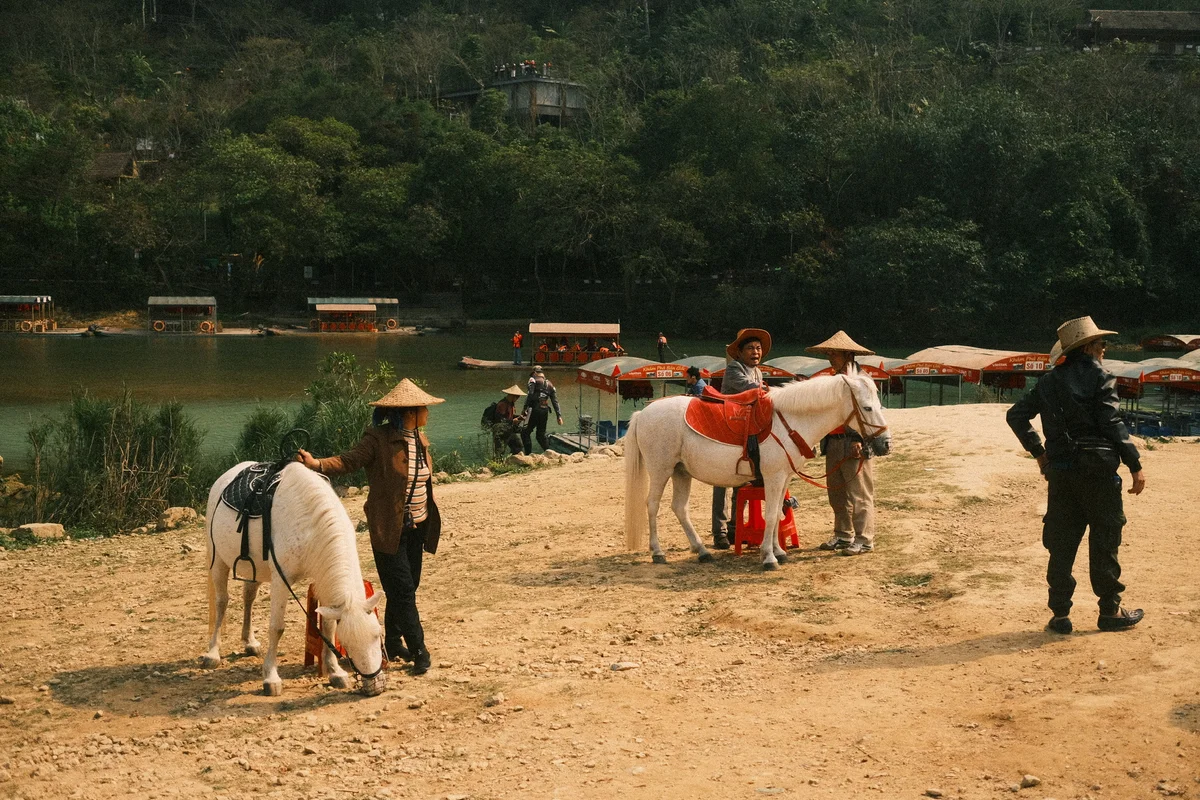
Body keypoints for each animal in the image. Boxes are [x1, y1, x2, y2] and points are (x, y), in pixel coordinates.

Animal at [202, 461, 387, 697]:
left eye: (378, 634)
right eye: (347, 643)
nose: (376, 686)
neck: (309, 523)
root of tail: (226, 476)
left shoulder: (321, 577)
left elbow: (328, 627)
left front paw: (335, 672)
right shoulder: (282, 580)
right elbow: (277, 627)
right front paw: (271, 678)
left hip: (255, 571)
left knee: (248, 598)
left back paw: (249, 643)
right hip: (217, 561)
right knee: (222, 602)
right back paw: (212, 654)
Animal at [623, 373, 890, 570]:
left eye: (879, 405)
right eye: (867, 408)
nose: (885, 444)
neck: (789, 422)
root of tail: (643, 413)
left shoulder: (783, 478)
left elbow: (778, 514)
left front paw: (778, 551)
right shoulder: (773, 478)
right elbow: (771, 516)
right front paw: (769, 558)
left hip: (681, 472)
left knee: (680, 508)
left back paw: (702, 551)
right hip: (661, 470)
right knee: (652, 505)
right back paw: (658, 552)